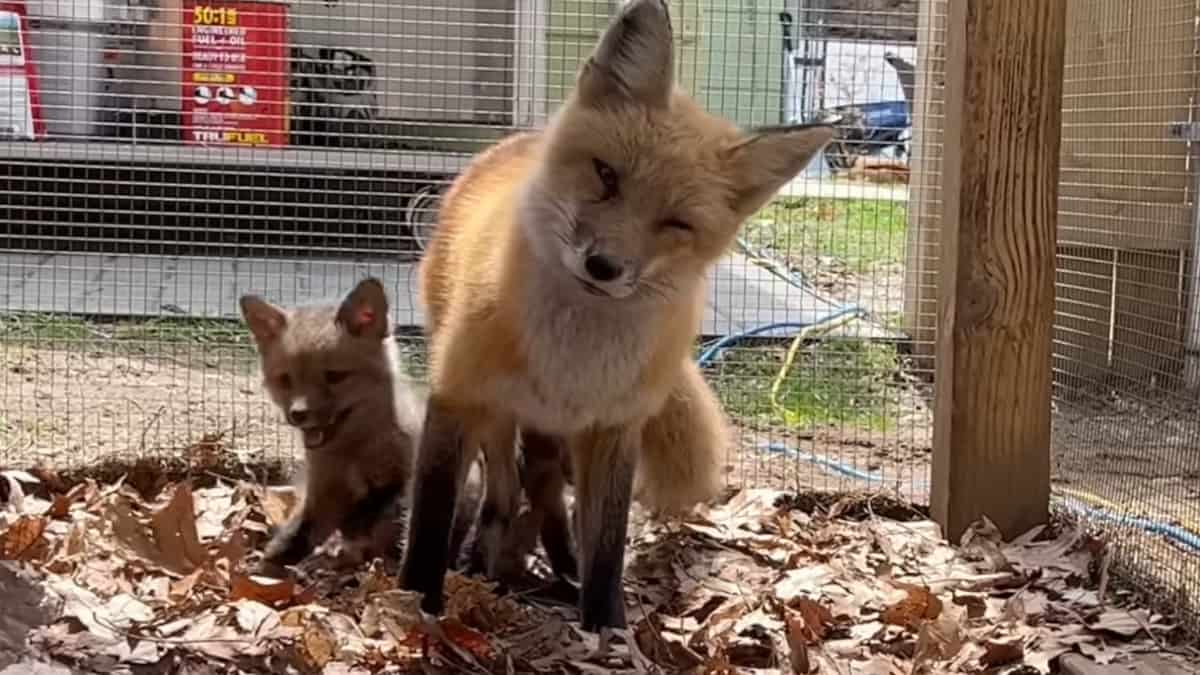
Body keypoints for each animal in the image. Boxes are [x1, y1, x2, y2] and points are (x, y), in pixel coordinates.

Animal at [398, 0, 830, 629]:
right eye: (606, 175)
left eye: (676, 223)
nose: (602, 266)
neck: (572, 359)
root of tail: (516, 141)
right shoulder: (457, 396)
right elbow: (430, 519)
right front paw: (414, 606)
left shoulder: (614, 429)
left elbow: (607, 546)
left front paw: (606, 629)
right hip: (495, 416)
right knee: (503, 491)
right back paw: (487, 561)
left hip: (557, 440)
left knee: (540, 497)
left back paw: (545, 567)